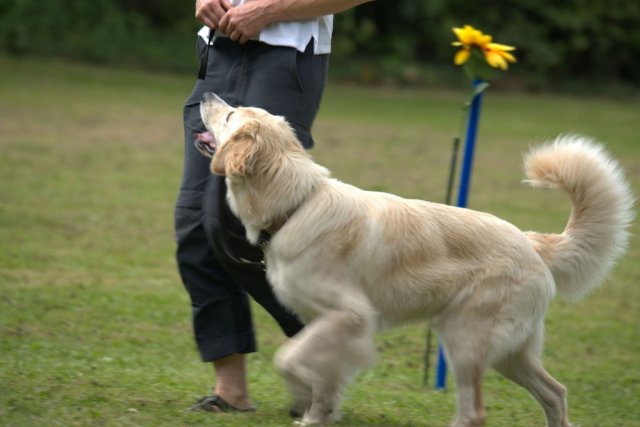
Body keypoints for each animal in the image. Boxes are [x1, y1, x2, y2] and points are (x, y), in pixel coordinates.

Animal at [194, 93, 634, 427]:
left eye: (230, 114)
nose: (206, 94)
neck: (296, 205)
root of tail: (531, 243)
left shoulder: (349, 316)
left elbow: (289, 359)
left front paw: (305, 399)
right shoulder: (323, 323)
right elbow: (322, 379)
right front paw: (317, 416)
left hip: (465, 341)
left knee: (475, 413)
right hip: (510, 355)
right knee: (555, 393)